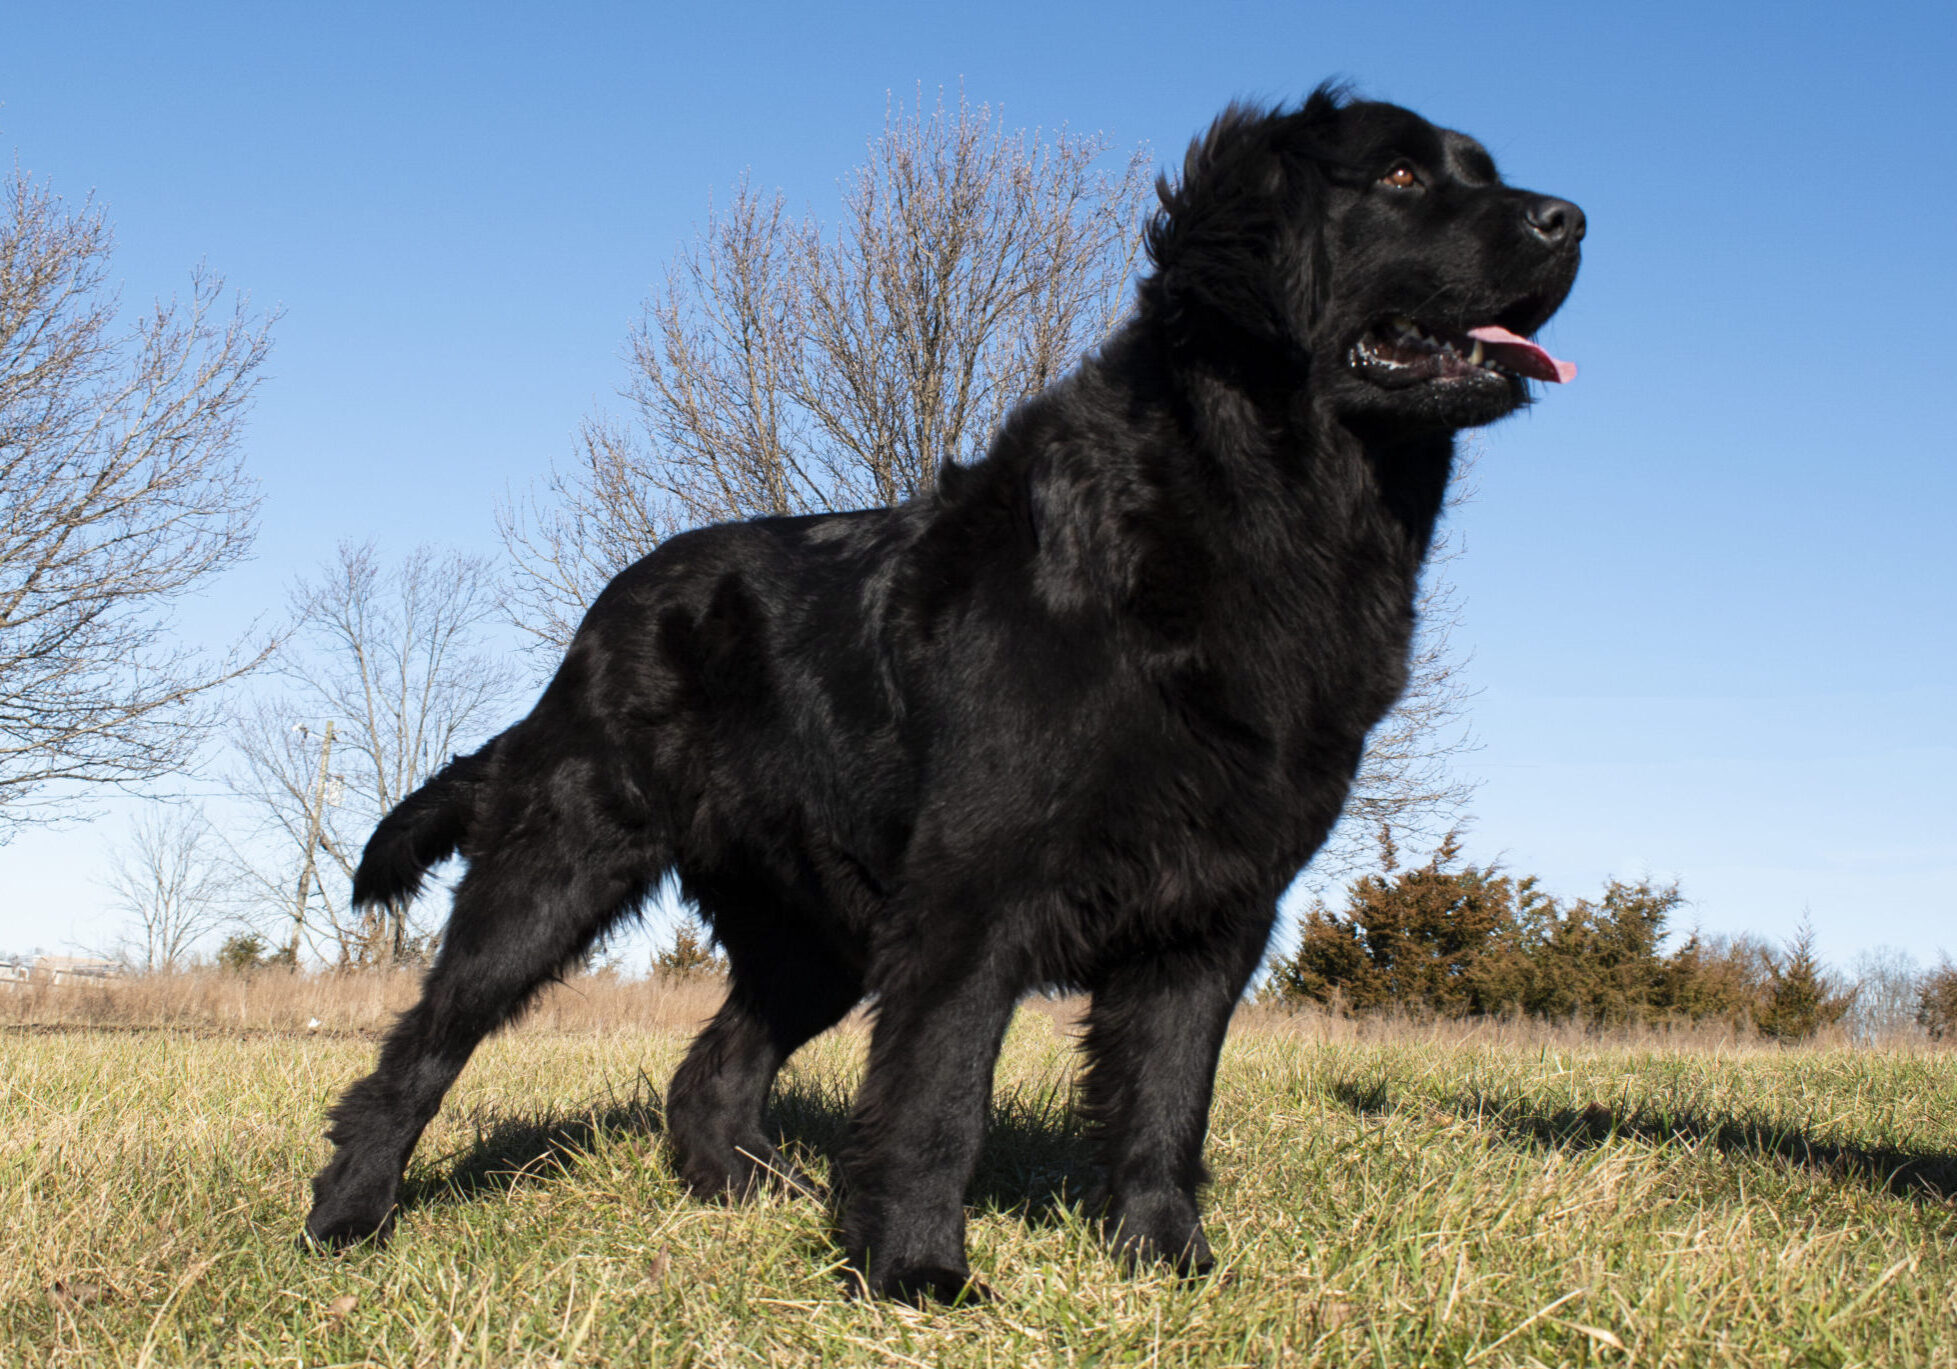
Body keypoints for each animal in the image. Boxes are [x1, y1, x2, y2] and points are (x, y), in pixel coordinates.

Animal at [309, 80, 1589, 1298]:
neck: (1269, 520)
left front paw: (1168, 1261)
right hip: (558, 862)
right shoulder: (973, 893)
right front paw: (916, 1272)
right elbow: (935, 1098)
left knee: (710, 1070)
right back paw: (348, 1215)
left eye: (1483, 170)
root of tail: (602, 614)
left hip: (813, 930)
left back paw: (747, 1197)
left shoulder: (1215, 907)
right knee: (422, 1046)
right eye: (1400, 175)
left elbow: (1166, 1101)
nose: (1568, 217)